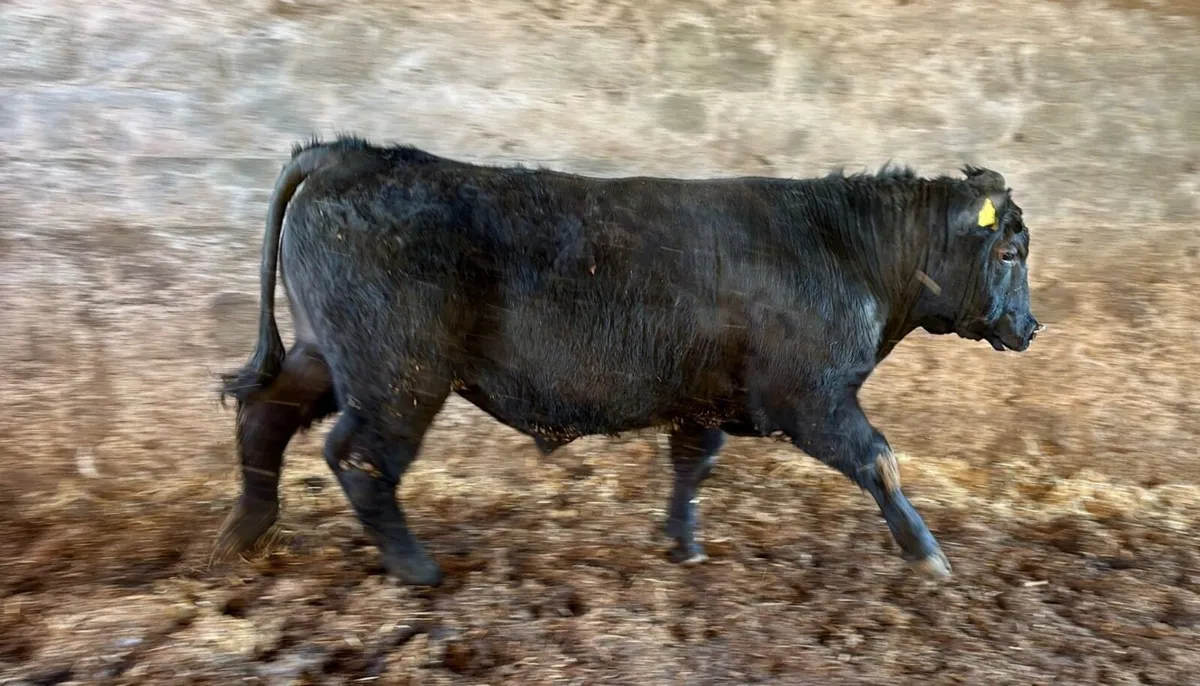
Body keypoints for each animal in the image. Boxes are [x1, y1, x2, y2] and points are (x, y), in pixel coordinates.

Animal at [213, 135, 1041, 587]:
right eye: (1010, 250)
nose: (1031, 327)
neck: (848, 248)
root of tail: (355, 153)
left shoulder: (705, 397)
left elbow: (693, 464)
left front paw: (682, 544)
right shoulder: (812, 397)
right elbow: (880, 460)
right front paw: (927, 554)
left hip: (329, 356)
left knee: (264, 416)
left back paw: (245, 534)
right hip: (397, 374)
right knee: (357, 456)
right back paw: (414, 568)